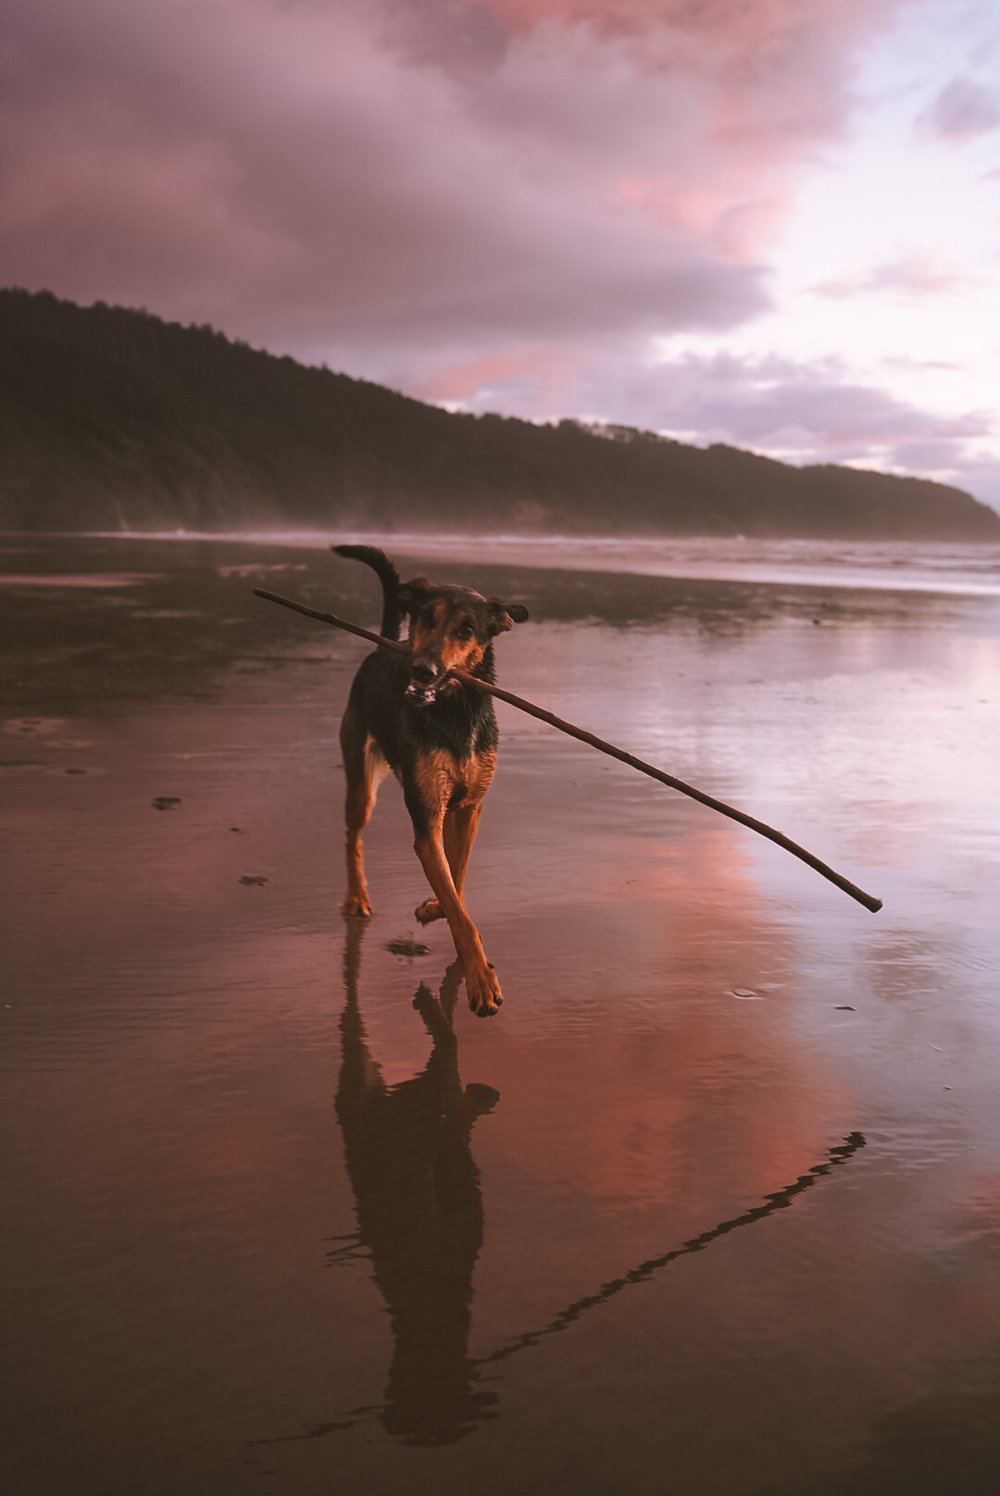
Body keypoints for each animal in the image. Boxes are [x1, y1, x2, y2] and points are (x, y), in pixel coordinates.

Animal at [333, 544, 526, 1023]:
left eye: (467, 629)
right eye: (424, 616)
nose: (421, 670)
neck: (454, 711)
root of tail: (383, 645)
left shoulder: (469, 808)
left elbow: (456, 878)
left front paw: (435, 907)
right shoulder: (427, 818)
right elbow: (459, 906)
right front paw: (479, 981)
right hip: (361, 777)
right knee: (352, 833)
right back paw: (356, 895)